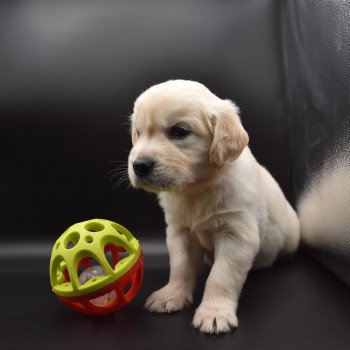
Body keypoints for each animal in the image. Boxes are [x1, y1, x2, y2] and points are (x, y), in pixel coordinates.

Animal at [127, 79, 300, 334]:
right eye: (138, 133)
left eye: (179, 132)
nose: (139, 165)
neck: (196, 189)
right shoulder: (179, 232)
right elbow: (180, 267)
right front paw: (172, 295)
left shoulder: (237, 235)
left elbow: (221, 277)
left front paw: (214, 312)